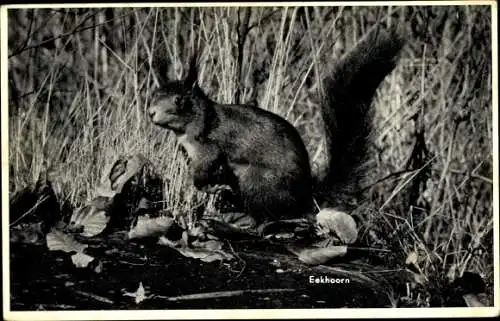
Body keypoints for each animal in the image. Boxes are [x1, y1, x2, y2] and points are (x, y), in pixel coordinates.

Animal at [149, 26, 406, 224]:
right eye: (155, 94)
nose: (151, 113)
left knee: (265, 214)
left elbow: (205, 171)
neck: (198, 120)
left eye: (179, 100)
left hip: (255, 181)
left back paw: (244, 219)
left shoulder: (207, 147)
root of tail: (305, 197)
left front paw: (208, 187)